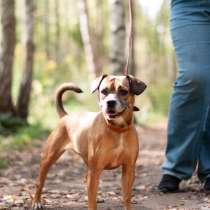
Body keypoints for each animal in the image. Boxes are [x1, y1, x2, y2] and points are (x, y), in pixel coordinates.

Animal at [32, 75, 146, 210]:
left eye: (123, 91)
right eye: (104, 91)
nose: (110, 102)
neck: (117, 129)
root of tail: (66, 116)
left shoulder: (128, 169)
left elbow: (127, 197)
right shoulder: (95, 169)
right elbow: (92, 201)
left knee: (86, 180)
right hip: (49, 157)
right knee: (40, 181)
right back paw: (36, 201)